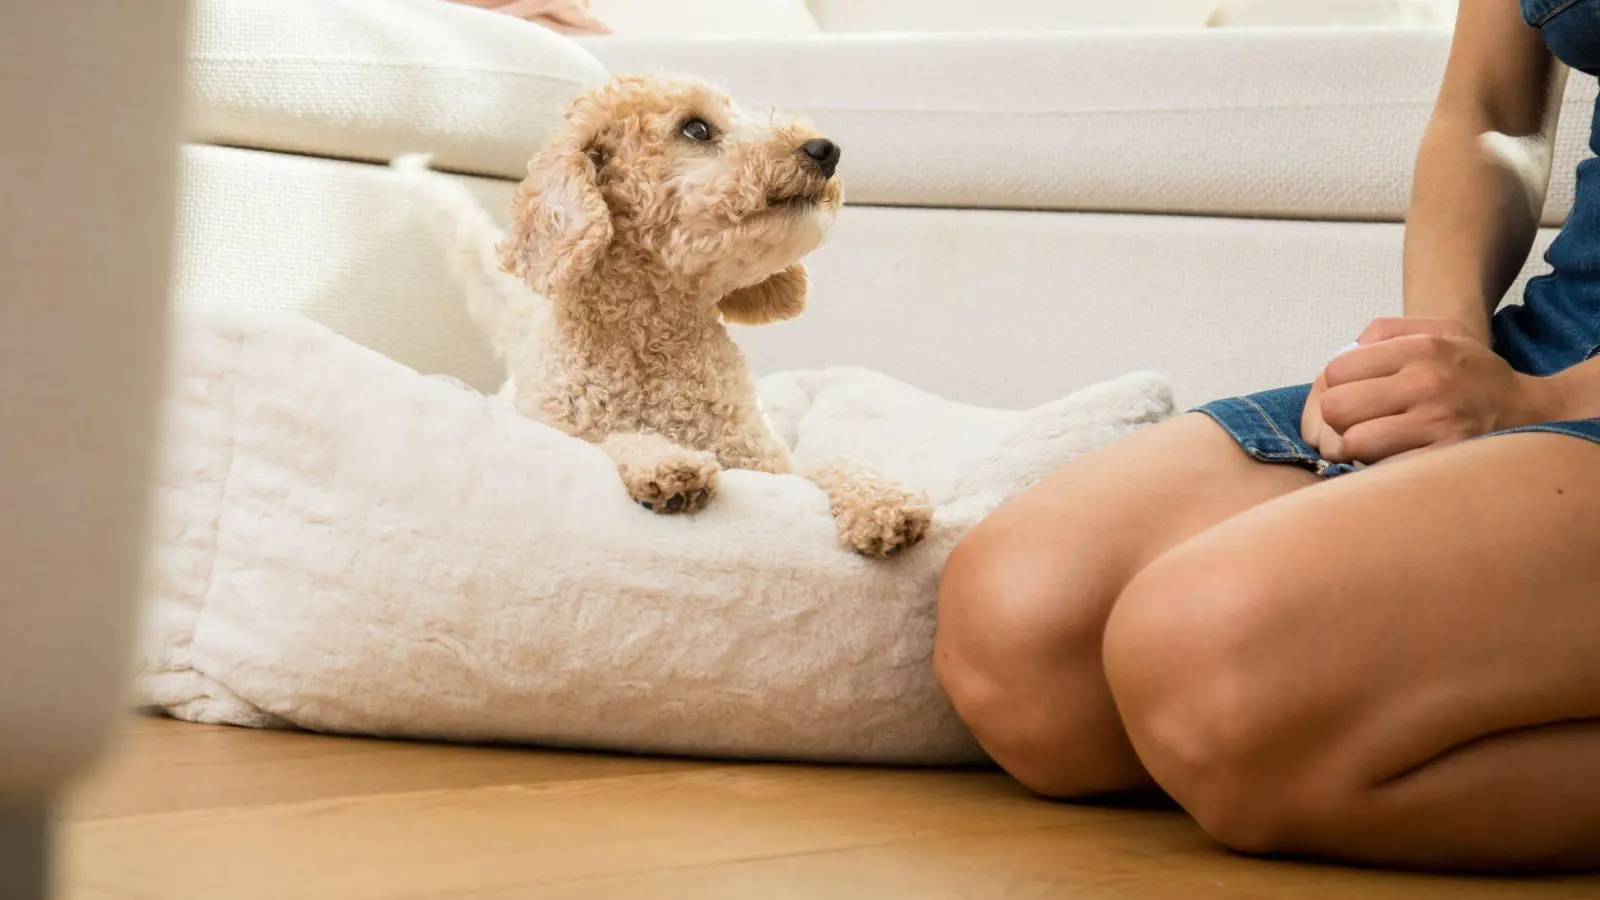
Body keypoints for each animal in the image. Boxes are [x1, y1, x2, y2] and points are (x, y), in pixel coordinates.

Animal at [392, 75, 934, 554]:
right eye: (696, 129)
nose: (825, 149)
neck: (655, 342)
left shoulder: (770, 465)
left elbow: (832, 462)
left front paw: (885, 502)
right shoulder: (570, 434)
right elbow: (618, 439)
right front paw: (667, 465)